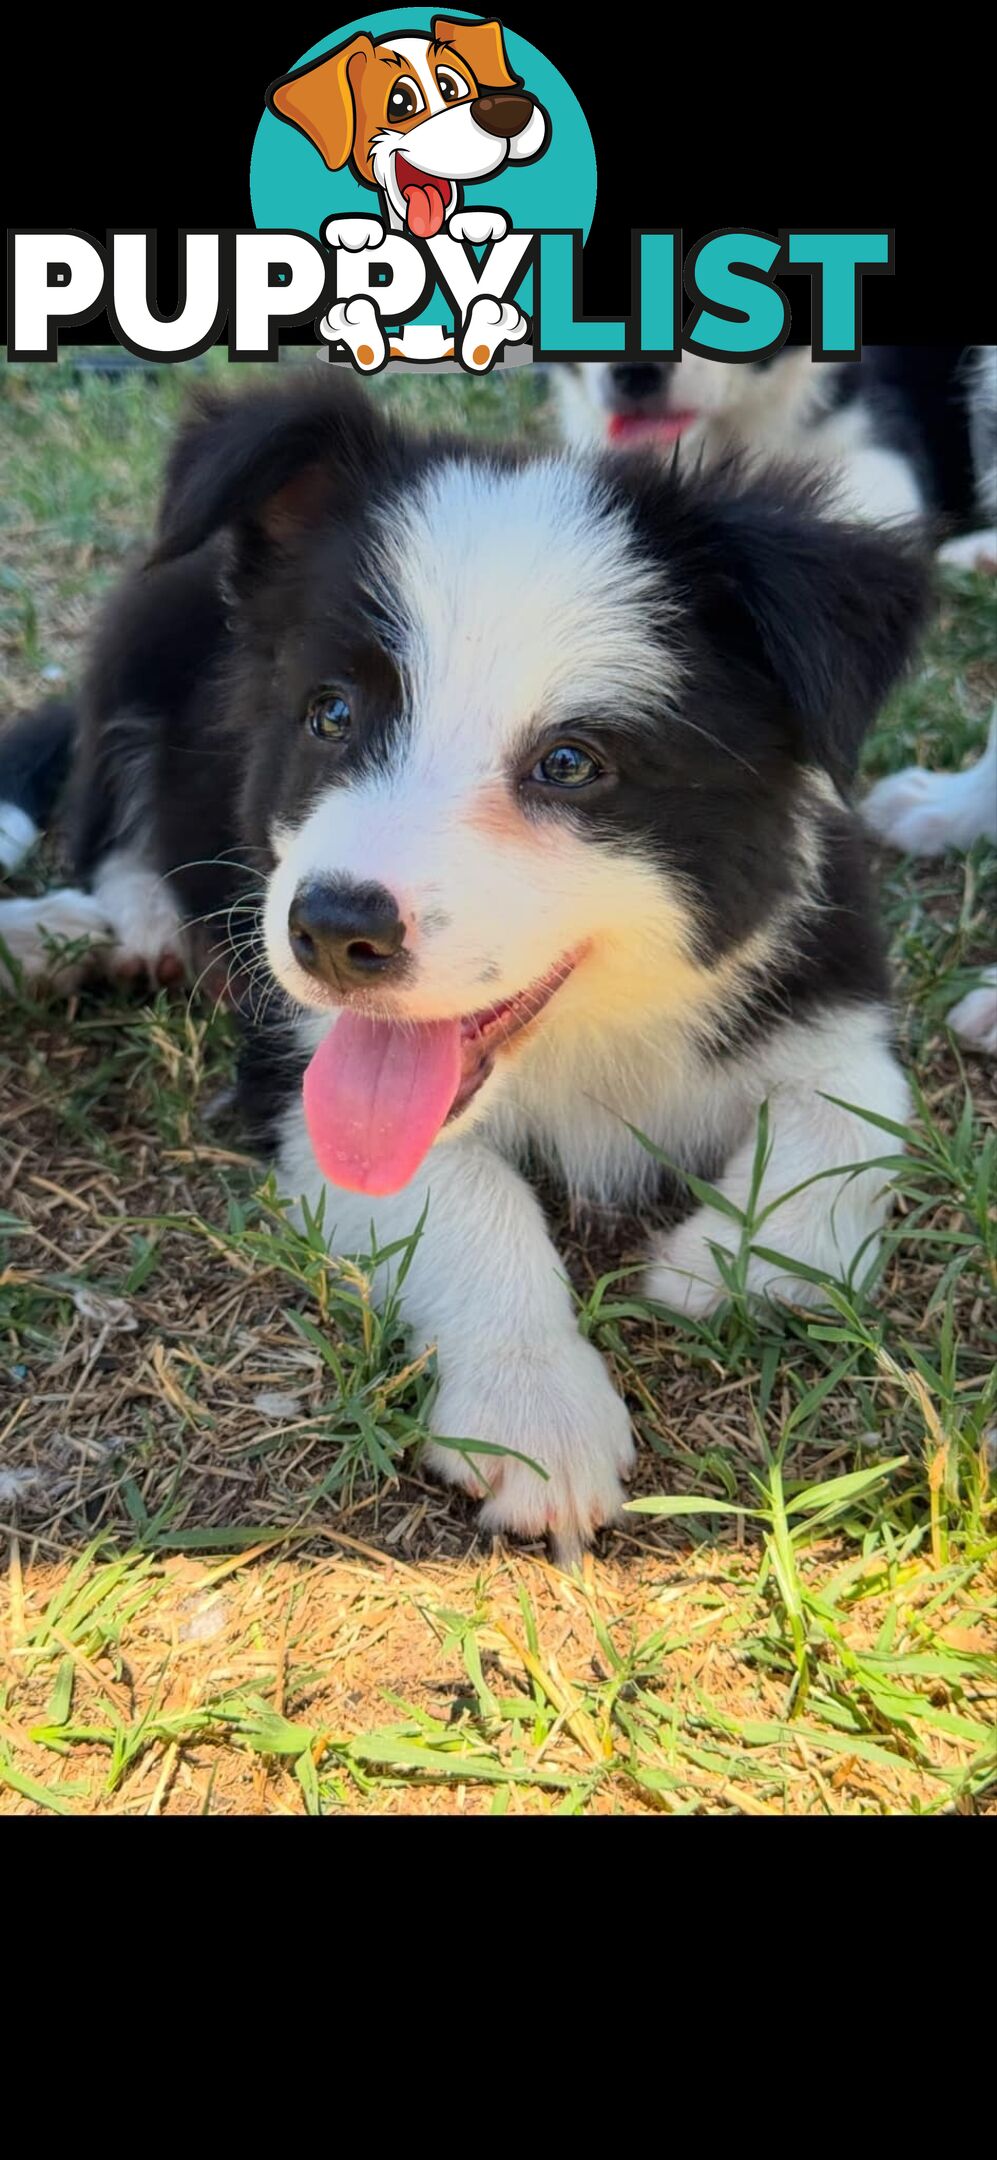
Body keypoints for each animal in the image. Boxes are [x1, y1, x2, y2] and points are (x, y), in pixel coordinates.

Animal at [1, 375, 936, 1555]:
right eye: (331, 714)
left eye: (570, 764)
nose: (332, 931)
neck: (585, 1036)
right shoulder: (299, 1063)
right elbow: (465, 1190)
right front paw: (533, 1414)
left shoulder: (821, 967)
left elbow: (856, 1119)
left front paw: (730, 1265)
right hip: (144, 633)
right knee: (115, 820)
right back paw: (106, 934)